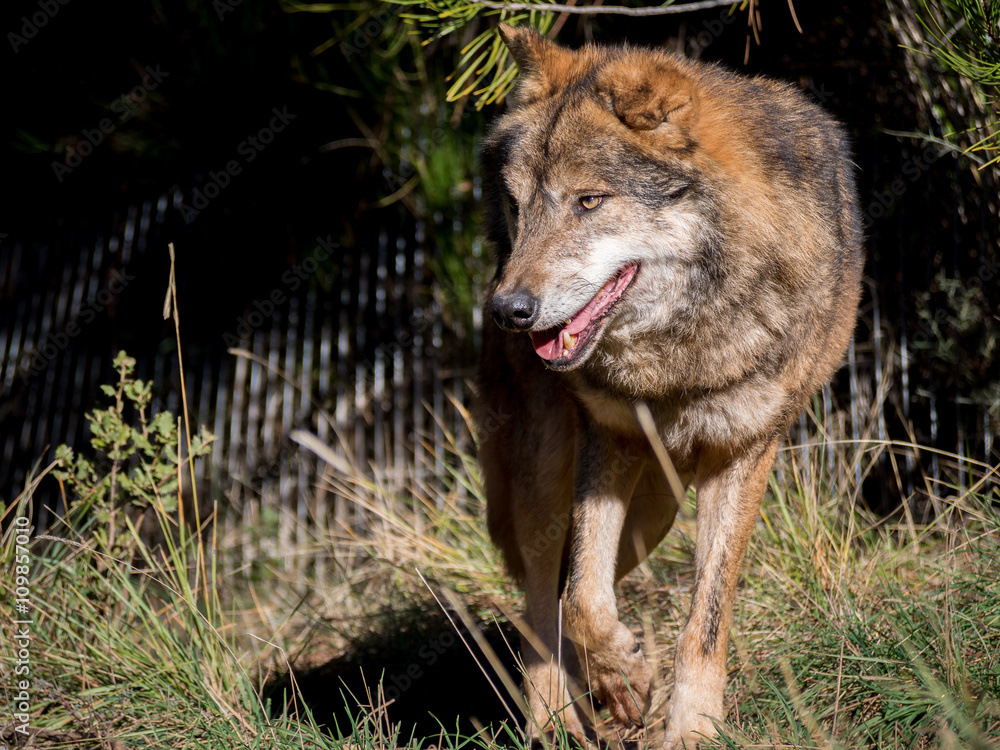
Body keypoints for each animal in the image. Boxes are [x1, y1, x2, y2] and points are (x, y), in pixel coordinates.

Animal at [475, 24, 864, 749]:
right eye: (518, 207)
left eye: (589, 201)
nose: (508, 310)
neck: (679, 358)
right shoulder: (611, 436)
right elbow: (584, 600)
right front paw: (623, 679)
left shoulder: (744, 452)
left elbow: (703, 620)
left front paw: (692, 729)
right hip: (546, 474)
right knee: (543, 600)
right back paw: (555, 722)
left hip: (655, 513)